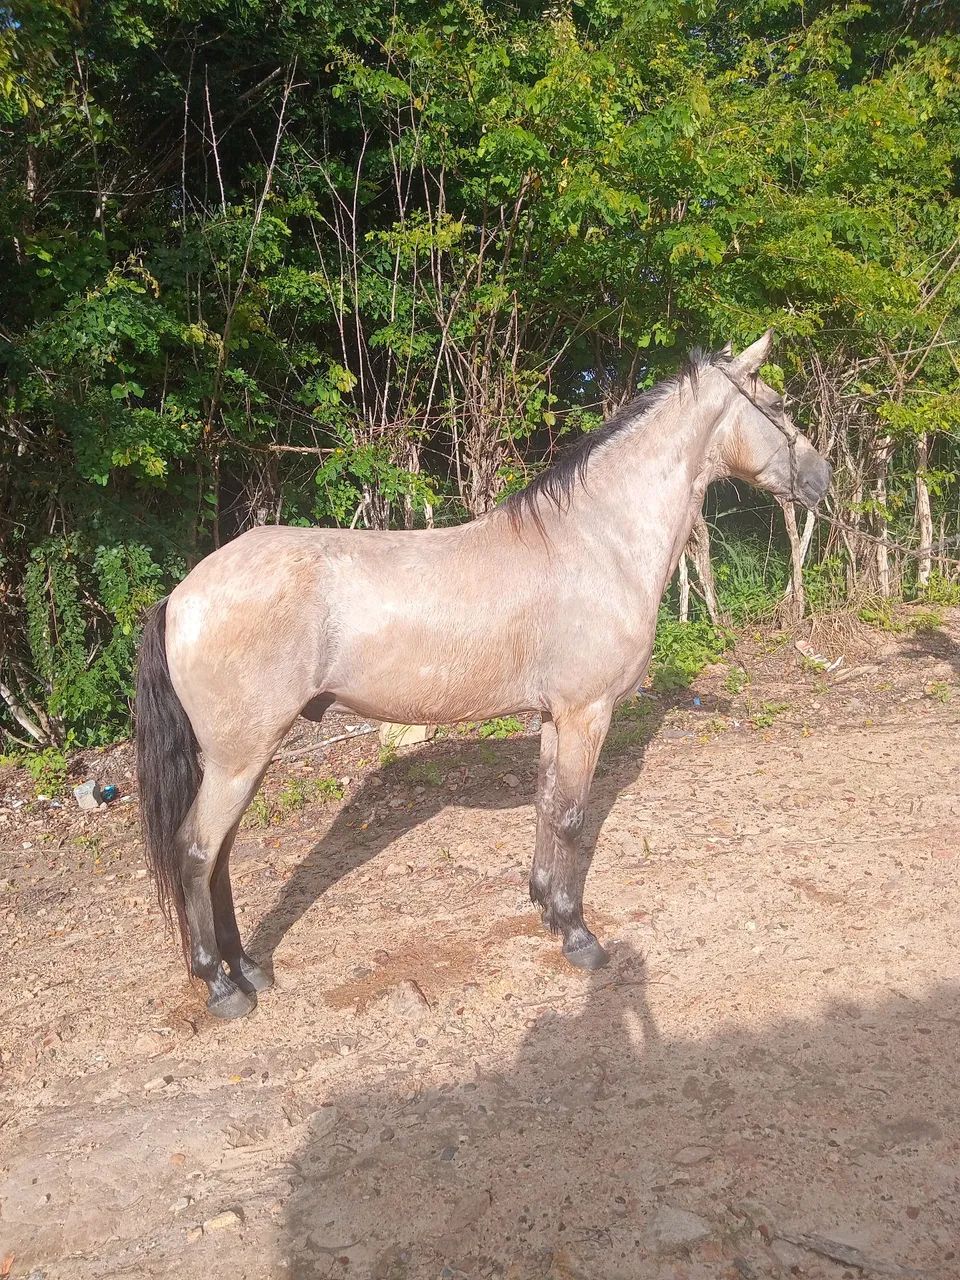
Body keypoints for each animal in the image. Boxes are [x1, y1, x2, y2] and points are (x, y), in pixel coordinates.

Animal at [135, 332, 831, 1019]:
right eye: (777, 404)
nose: (822, 479)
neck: (594, 540)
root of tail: (181, 595)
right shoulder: (587, 712)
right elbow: (573, 818)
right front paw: (579, 937)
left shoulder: (556, 717)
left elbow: (549, 807)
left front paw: (547, 907)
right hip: (240, 757)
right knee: (196, 851)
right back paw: (221, 986)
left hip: (242, 758)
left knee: (219, 857)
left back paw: (248, 967)